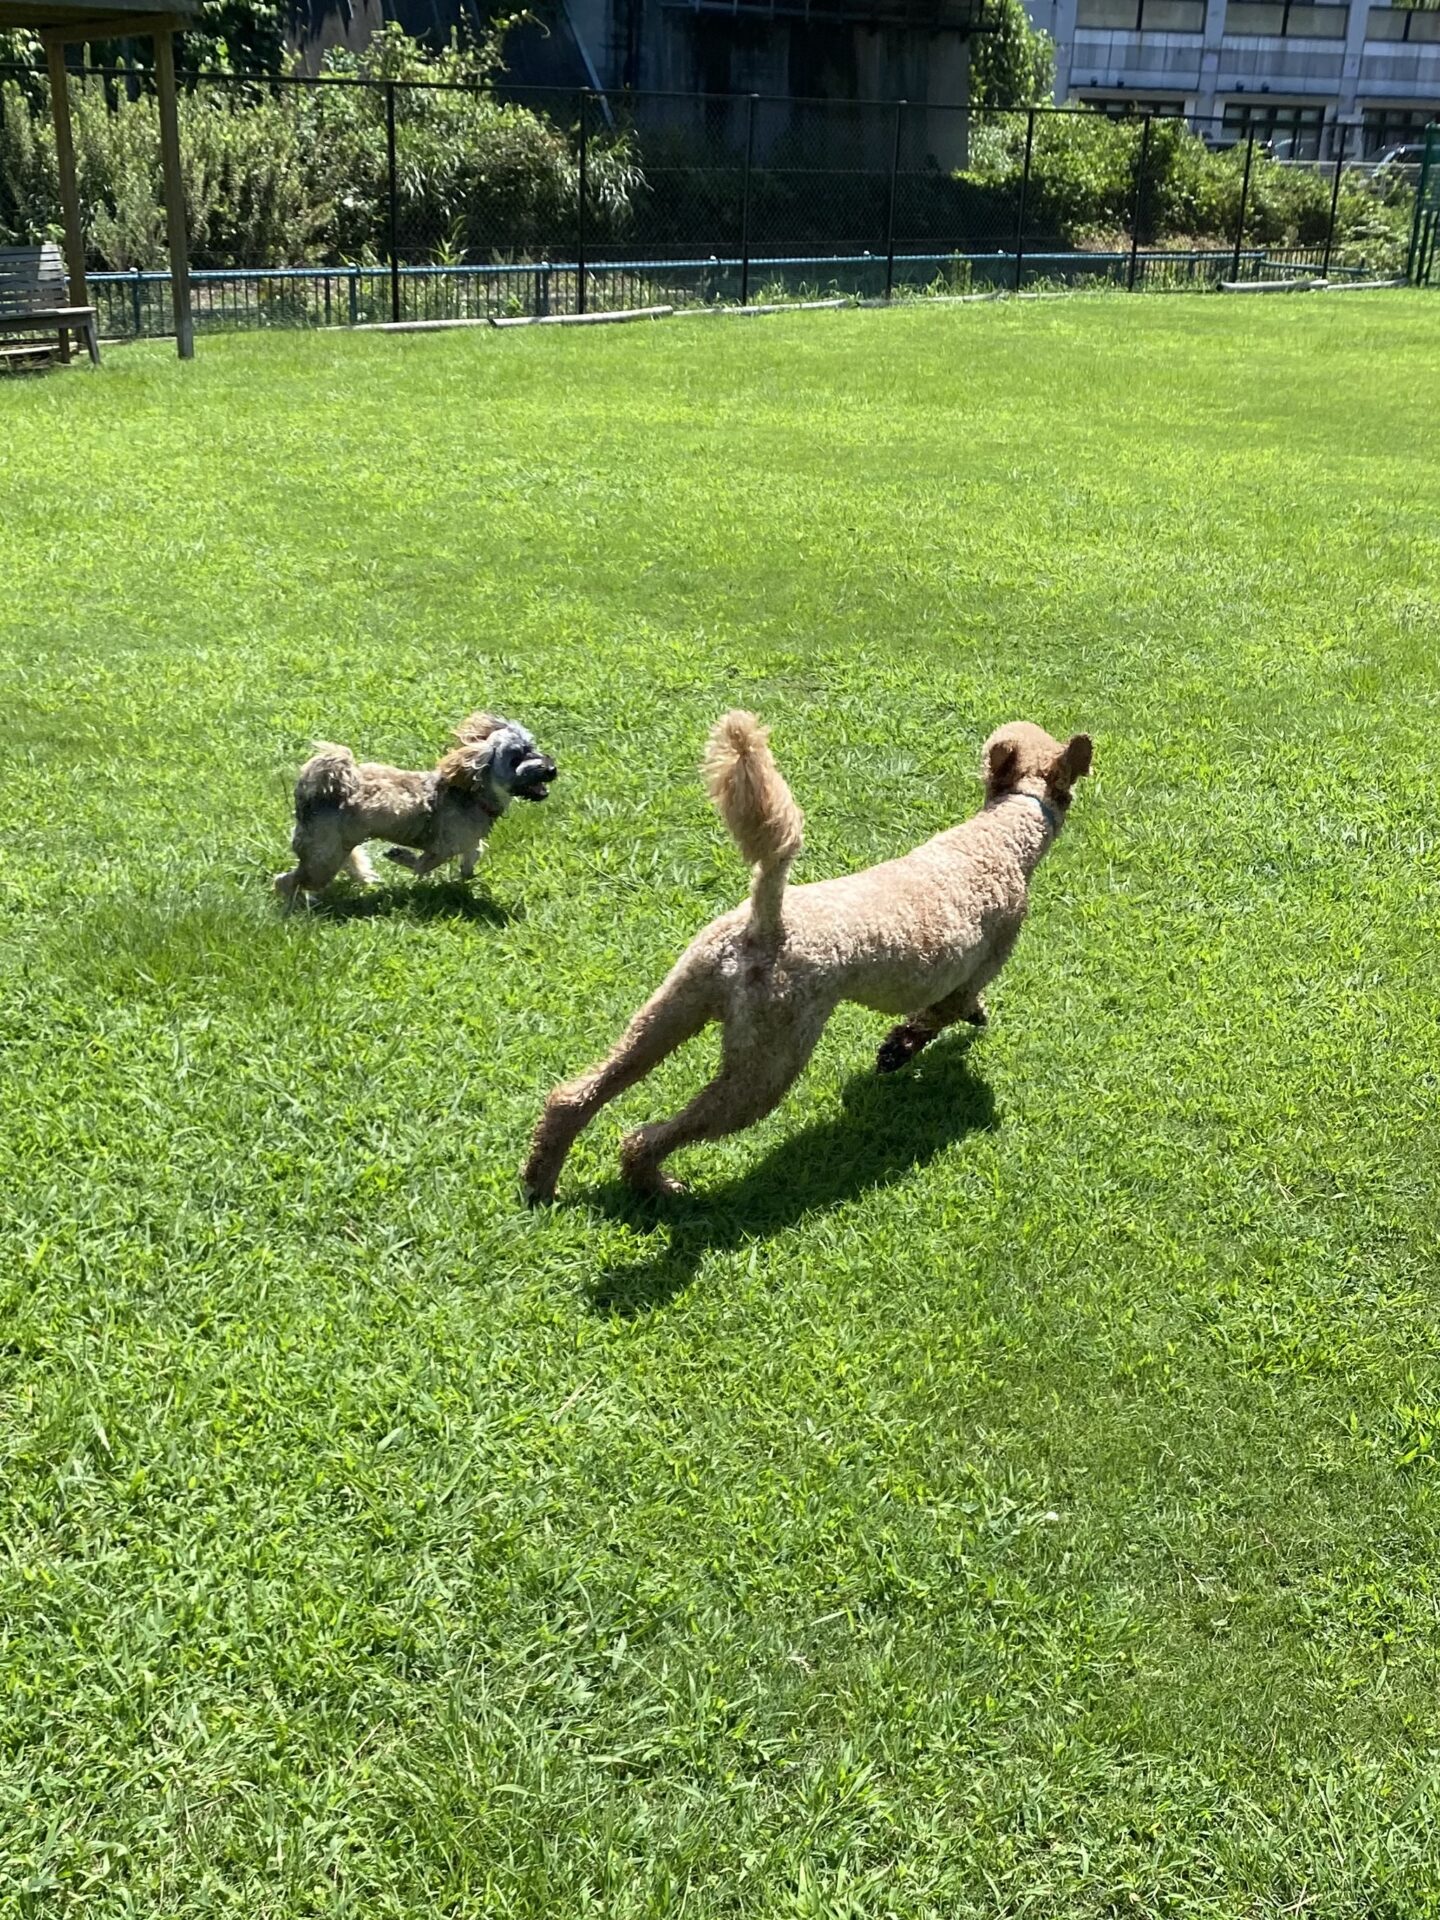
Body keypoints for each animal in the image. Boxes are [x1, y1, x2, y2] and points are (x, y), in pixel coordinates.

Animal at [274, 712, 557, 907]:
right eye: (515, 759)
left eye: (533, 748)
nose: (552, 769)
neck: (472, 792)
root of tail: (312, 797)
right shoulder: (442, 848)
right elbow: (423, 865)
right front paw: (401, 856)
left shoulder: (468, 840)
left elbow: (474, 853)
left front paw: (466, 873)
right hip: (322, 860)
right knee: (285, 882)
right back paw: (298, 905)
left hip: (337, 847)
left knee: (346, 863)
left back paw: (364, 878)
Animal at [523, 712, 1090, 1201]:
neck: (1001, 837)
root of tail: (766, 920)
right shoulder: (973, 972)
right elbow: (931, 1019)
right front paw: (901, 1050)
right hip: (768, 1063)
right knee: (648, 1136)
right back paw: (658, 1186)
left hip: (672, 1010)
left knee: (574, 1097)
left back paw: (540, 1182)